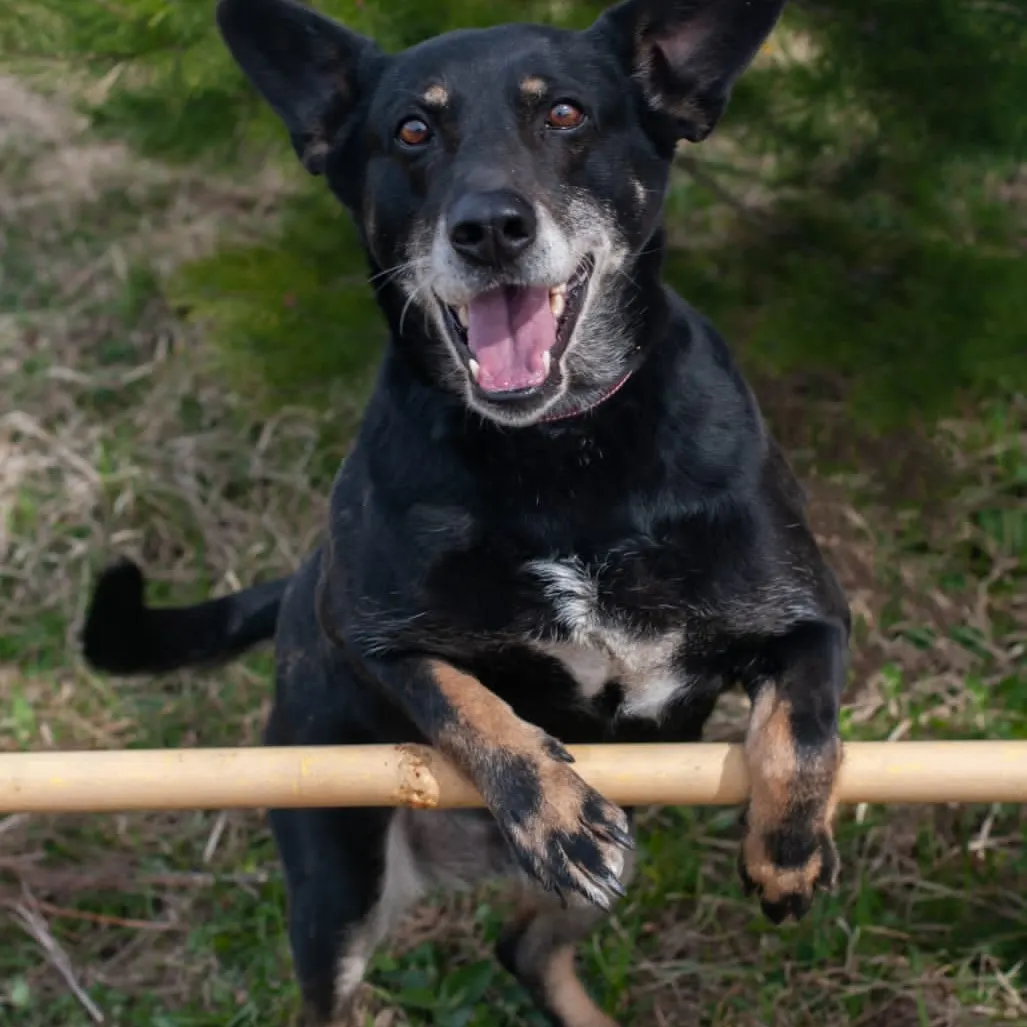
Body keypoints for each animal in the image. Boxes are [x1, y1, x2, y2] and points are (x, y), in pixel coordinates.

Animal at [82, 0, 850, 1022]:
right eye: (412, 130)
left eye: (564, 114)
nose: (489, 229)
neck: (561, 453)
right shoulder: (369, 634)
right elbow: (466, 703)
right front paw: (556, 814)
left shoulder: (811, 615)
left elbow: (802, 727)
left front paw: (787, 852)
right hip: (337, 886)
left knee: (522, 946)